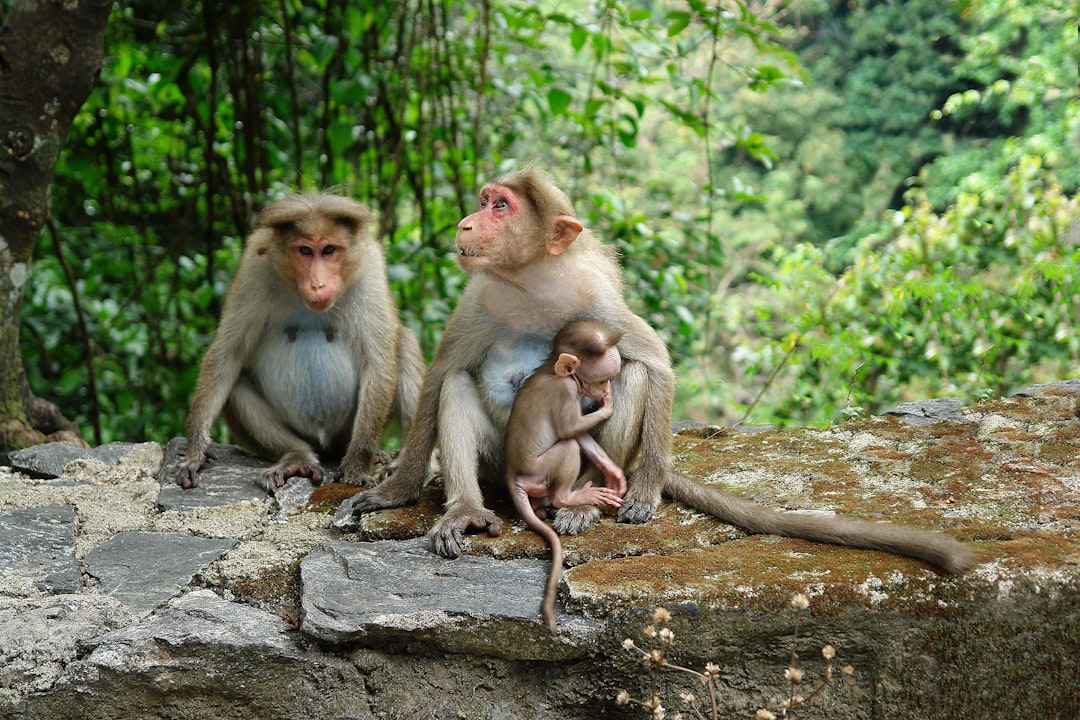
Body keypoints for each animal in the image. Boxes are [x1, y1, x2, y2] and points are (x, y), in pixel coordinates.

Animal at [176, 191, 421, 492]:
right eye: (305, 251)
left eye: (329, 250)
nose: (317, 284)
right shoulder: (254, 267)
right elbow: (227, 354)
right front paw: (196, 446)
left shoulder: (370, 269)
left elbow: (378, 364)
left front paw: (357, 467)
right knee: (235, 384)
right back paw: (297, 456)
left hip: (345, 434)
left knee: (404, 342)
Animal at [507, 321, 630, 630]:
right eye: (603, 379)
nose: (605, 389)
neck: (552, 370)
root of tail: (513, 475)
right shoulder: (565, 391)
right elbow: (570, 429)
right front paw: (608, 407)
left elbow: (580, 433)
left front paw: (614, 473)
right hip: (540, 471)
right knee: (567, 447)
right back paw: (570, 498)